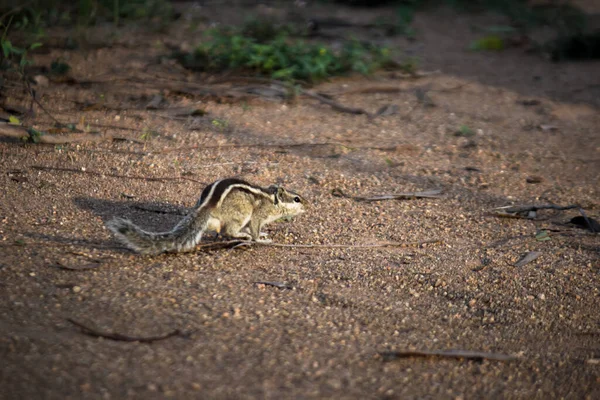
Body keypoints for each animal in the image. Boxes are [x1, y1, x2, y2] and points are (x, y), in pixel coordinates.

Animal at [105, 177, 308, 255]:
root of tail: (207, 205)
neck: (272, 200)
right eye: (297, 199)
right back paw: (242, 235)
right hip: (240, 213)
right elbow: (256, 228)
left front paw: (264, 234)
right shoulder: (258, 214)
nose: (308, 205)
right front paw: (261, 239)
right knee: (230, 231)